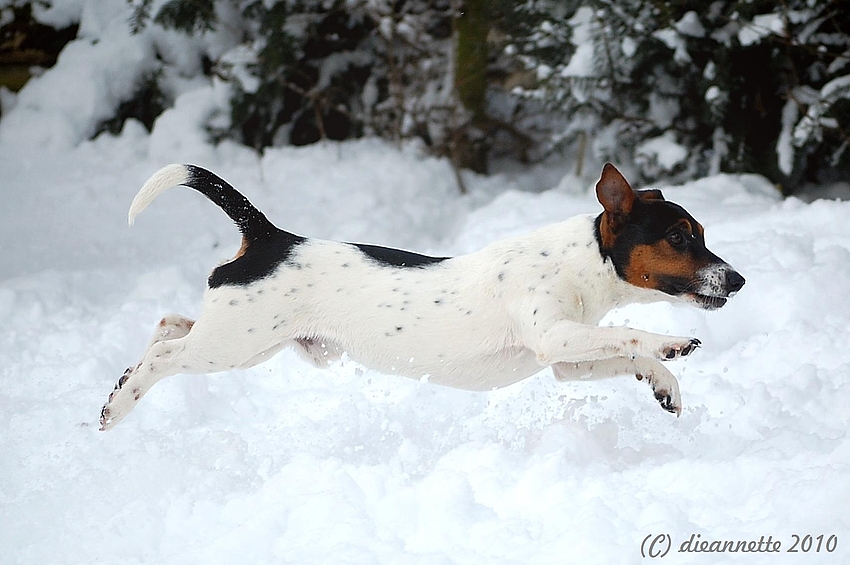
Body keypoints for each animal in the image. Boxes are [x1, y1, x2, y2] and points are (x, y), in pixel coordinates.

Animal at [99, 161, 744, 430]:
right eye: (679, 237)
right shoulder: (555, 335)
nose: (737, 280)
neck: (582, 260)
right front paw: (672, 343)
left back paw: (120, 384)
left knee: (167, 324)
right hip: (232, 344)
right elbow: (631, 332)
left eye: (700, 232)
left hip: (247, 343)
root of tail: (271, 237)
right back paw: (117, 406)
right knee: (164, 354)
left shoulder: (566, 360)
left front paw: (663, 383)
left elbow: (623, 351)